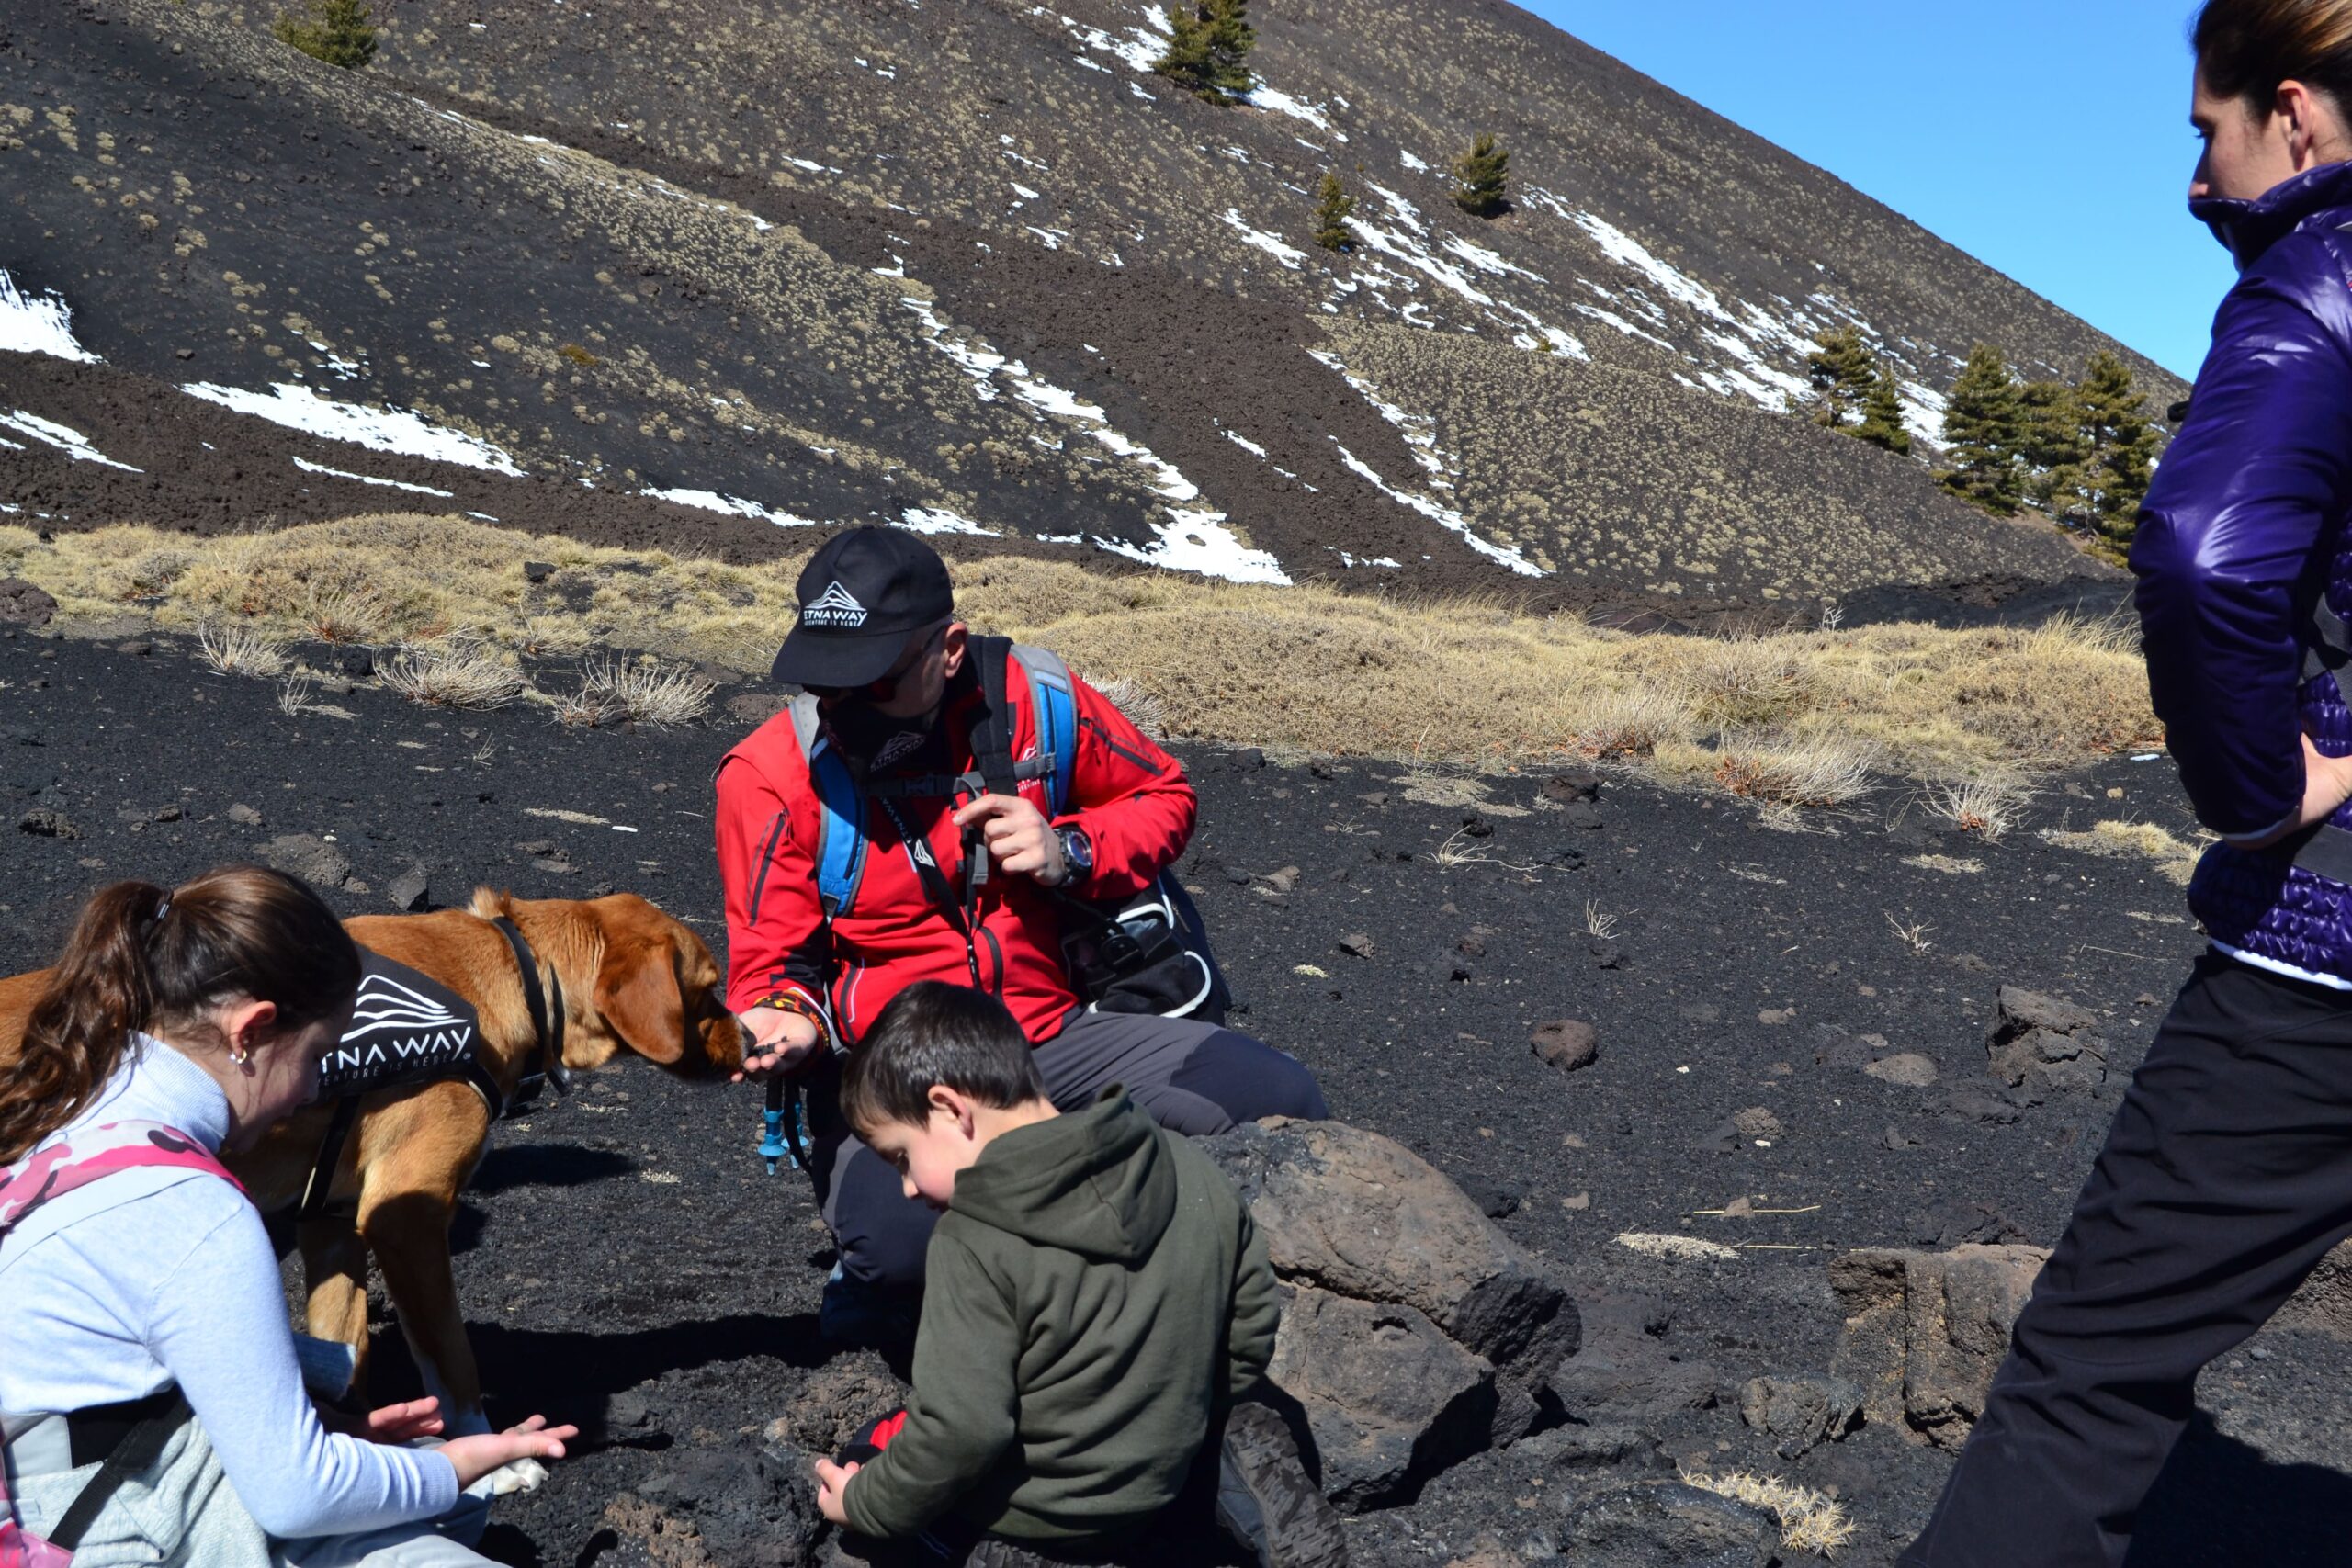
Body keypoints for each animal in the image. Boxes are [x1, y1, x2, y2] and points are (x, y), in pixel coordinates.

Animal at [0, 893, 742, 1448]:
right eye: (711, 990)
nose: (752, 1040)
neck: (511, 967)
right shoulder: (405, 1216)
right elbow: (452, 1360)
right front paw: (489, 1454)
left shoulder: (330, 1220)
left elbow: (344, 1343)